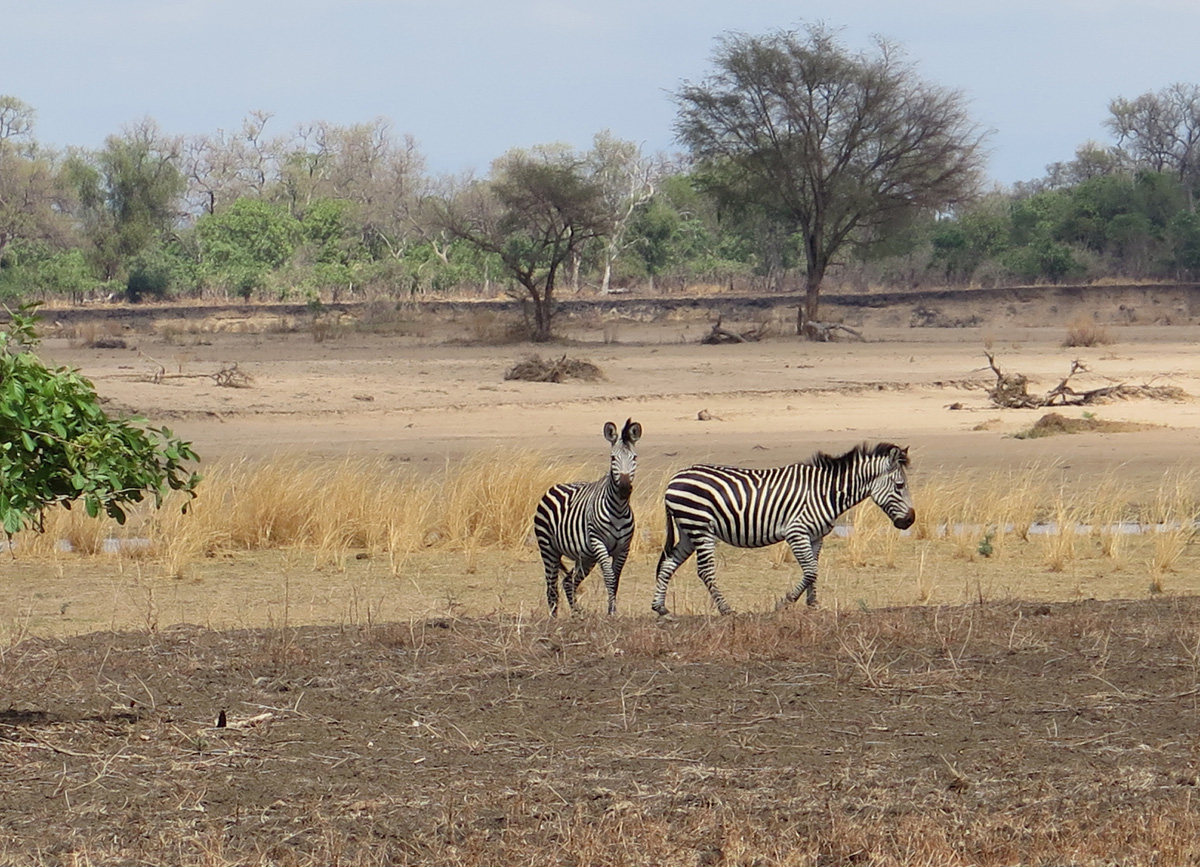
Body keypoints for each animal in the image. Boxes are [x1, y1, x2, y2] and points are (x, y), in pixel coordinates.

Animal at [534, 419, 642, 617]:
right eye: (612, 458)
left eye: (635, 458)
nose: (624, 488)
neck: (618, 509)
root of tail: (554, 487)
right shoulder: (598, 542)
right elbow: (609, 577)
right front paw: (611, 613)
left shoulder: (624, 548)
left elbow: (616, 579)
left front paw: (612, 611)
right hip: (548, 548)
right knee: (551, 587)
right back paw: (554, 617)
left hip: (585, 557)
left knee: (568, 581)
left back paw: (577, 612)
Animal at [652, 442, 915, 616]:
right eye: (900, 485)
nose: (910, 521)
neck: (826, 492)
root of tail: (674, 478)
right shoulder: (796, 532)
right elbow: (810, 571)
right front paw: (785, 603)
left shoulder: (816, 536)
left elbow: (814, 570)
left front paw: (813, 604)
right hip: (700, 527)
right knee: (705, 571)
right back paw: (727, 609)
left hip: (688, 530)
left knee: (668, 563)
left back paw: (661, 608)